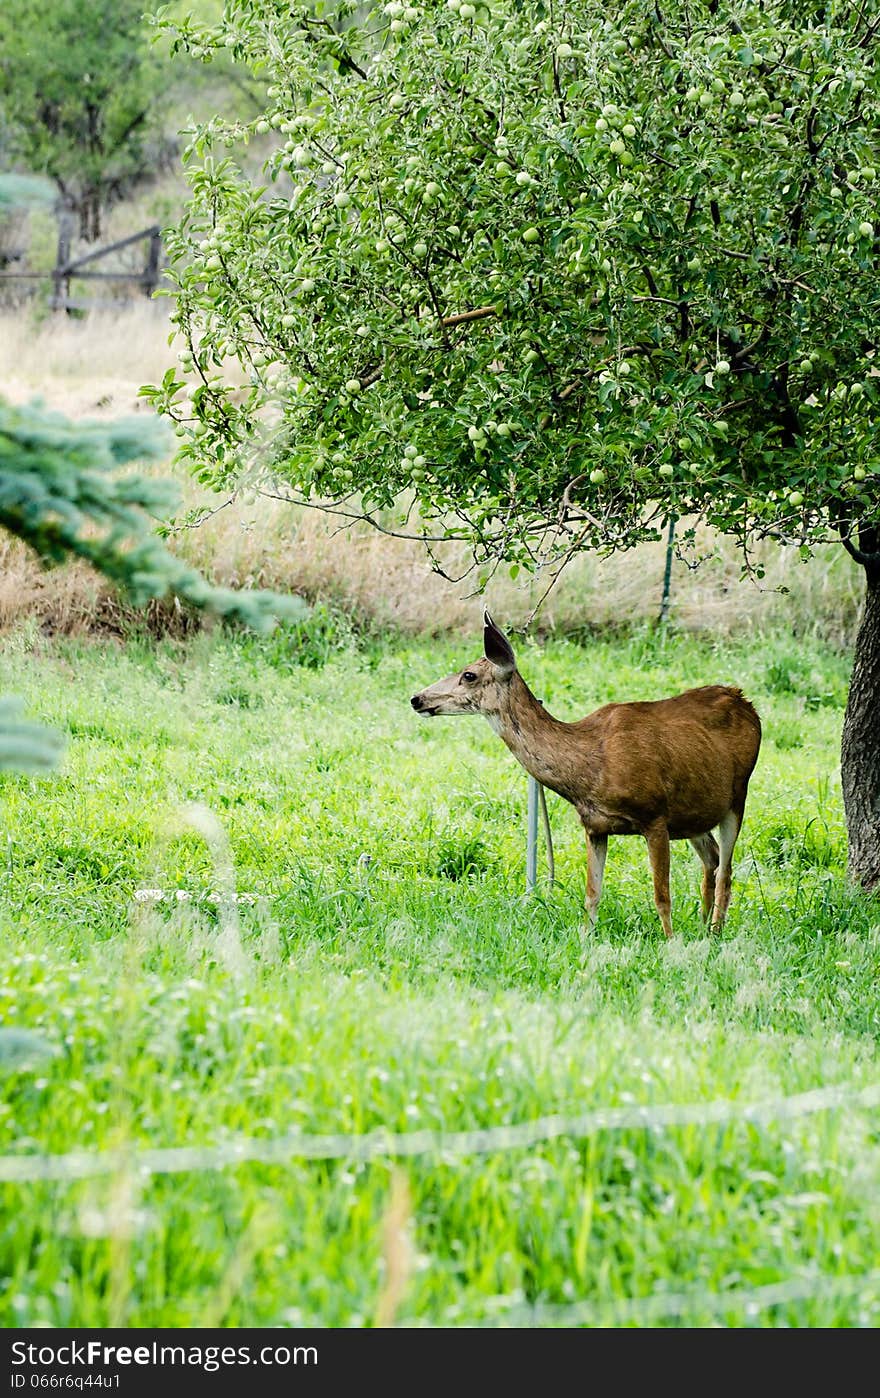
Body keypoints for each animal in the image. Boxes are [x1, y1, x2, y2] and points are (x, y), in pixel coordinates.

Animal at [408, 612, 761, 939]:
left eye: (468, 675)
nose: (417, 699)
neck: (589, 767)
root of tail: (747, 702)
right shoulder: (595, 826)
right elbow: (592, 894)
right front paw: (585, 938)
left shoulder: (655, 815)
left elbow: (662, 896)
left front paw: (671, 943)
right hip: (693, 815)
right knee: (712, 860)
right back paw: (703, 927)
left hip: (736, 797)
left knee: (726, 871)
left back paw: (714, 931)